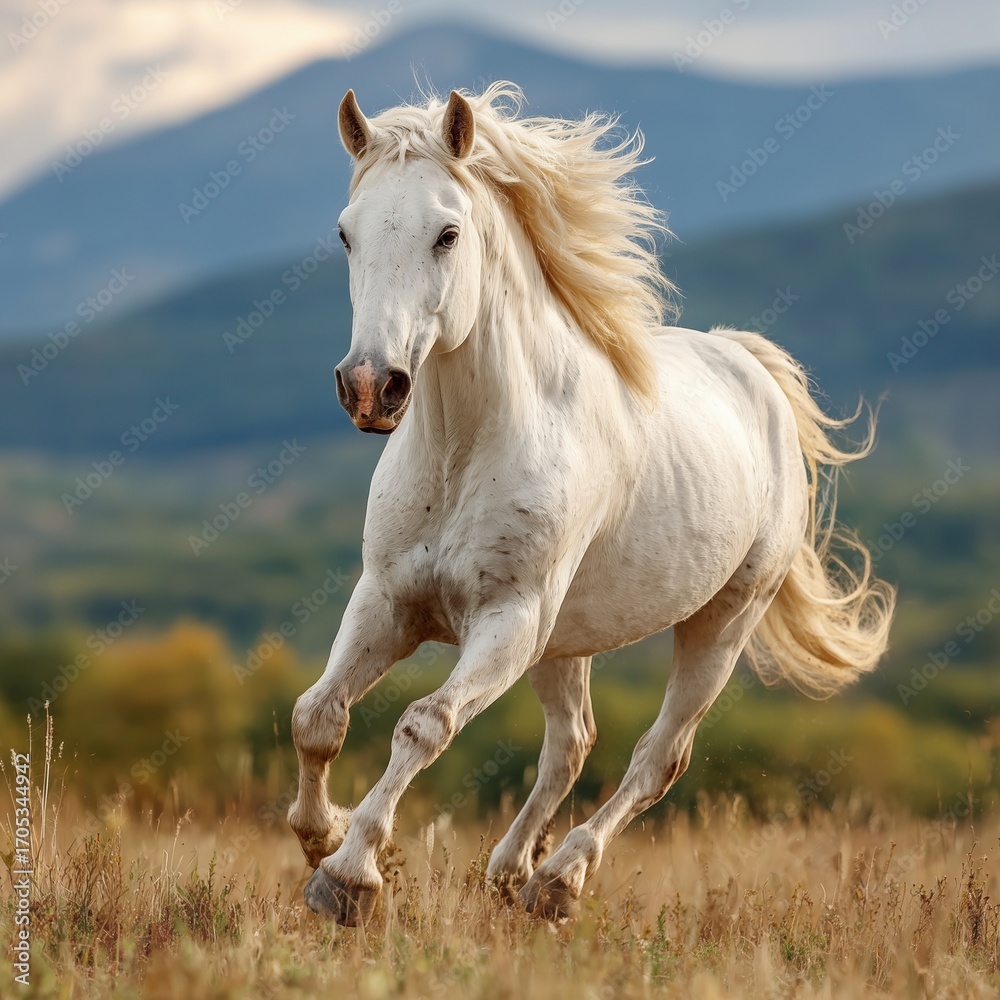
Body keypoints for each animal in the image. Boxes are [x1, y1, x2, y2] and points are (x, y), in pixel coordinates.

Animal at [287, 82, 895, 925]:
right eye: (347, 233)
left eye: (448, 233)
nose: (371, 386)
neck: (464, 451)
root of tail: (752, 368)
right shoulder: (388, 601)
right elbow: (318, 715)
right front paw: (320, 838)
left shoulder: (508, 621)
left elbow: (423, 727)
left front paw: (348, 877)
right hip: (564, 643)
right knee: (572, 742)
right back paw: (510, 872)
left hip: (719, 622)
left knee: (657, 757)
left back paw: (559, 878)